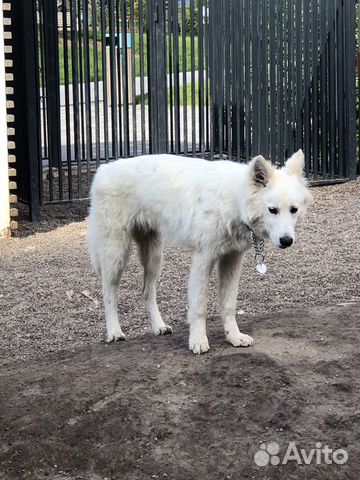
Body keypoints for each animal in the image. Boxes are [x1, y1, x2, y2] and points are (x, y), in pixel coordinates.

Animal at [87, 152, 312, 354]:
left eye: (293, 209)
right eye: (272, 210)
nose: (287, 241)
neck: (234, 199)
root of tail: (103, 170)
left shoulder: (232, 259)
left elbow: (229, 304)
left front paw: (234, 337)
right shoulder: (203, 259)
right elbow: (199, 306)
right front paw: (198, 341)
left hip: (154, 257)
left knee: (147, 291)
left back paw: (158, 326)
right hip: (117, 254)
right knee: (108, 292)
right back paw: (114, 332)